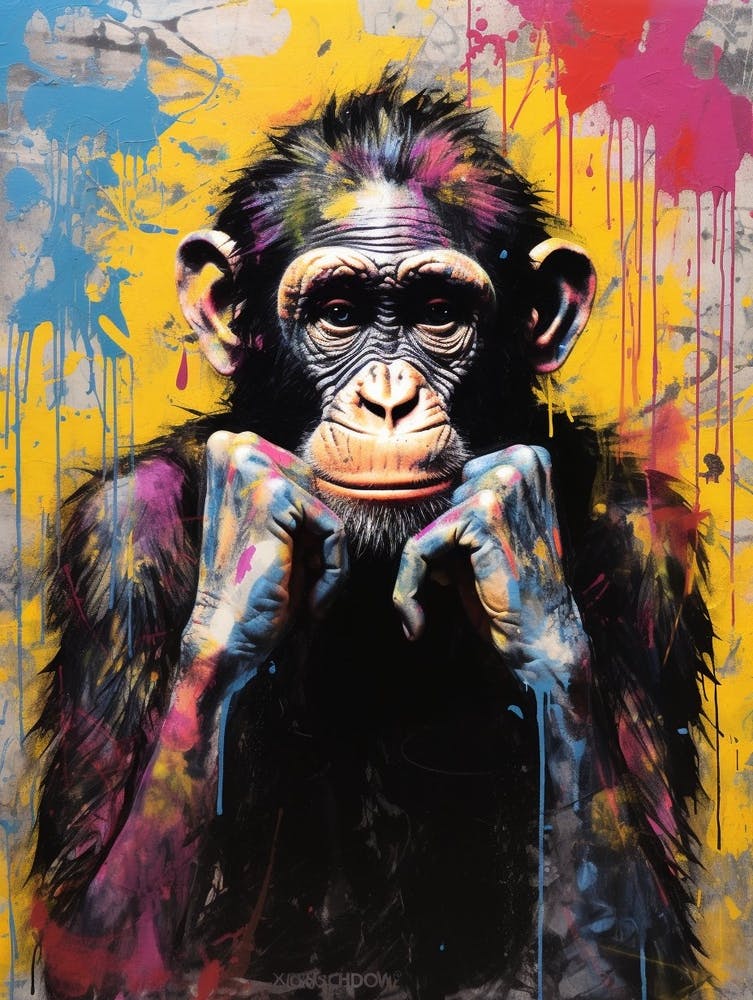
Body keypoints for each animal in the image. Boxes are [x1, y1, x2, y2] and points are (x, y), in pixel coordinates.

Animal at [32, 77, 714, 1000]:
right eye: (339, 313)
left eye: (438, 314)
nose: (388, 399)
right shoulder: (114, 539)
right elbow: (95, 943)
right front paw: (251, 540)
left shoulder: (650, 548)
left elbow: (631, 955)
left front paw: (513, 546)